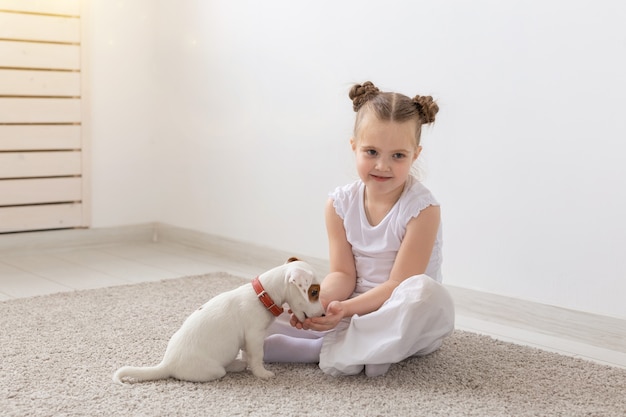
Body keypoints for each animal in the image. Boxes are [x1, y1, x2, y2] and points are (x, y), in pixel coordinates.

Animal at [112, 256, 324, 384]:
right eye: (314, 292)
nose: (323, 315)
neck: (263, 295)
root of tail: (167, 364)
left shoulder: (249, 340)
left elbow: (248, 354)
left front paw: (249, 364)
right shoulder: (255, 336)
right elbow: (257, 357)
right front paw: (262, 373)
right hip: (214, 370)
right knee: (222, 370)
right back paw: (235, 366)